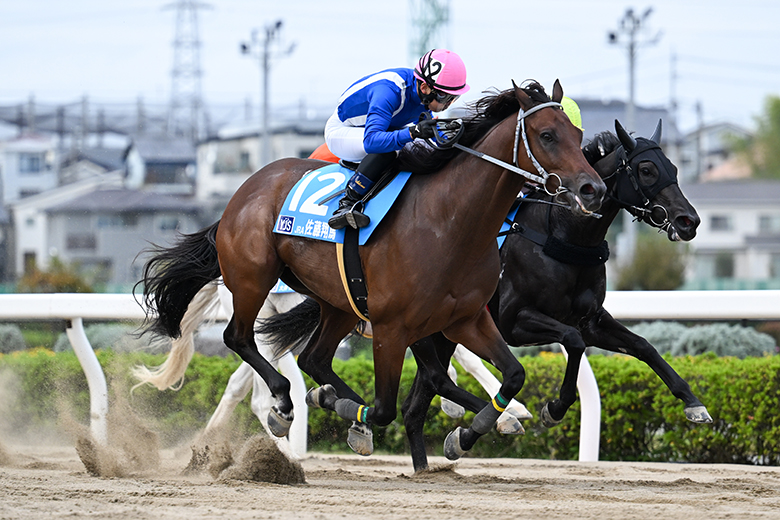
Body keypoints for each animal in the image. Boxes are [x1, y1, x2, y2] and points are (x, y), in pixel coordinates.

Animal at [137, 80, 606, 459]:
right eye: (547, 135)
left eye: (579, 134)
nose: (593, 189)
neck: (451, 221)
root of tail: (242, 193)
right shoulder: (393, 328)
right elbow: (387, 406)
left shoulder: (465, 318)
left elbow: (510, 375)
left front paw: (475, 431)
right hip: (253, 279)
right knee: (240, 339)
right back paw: (286, 407)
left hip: (337, 302)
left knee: (313, 358)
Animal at [400, 119, 711, 471]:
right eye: (646, 169)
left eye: (674, 167)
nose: (689, 221)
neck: (564, 238)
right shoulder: (515, 321)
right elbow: (573, 342)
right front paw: (555, 408)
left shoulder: (591, 321)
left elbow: (643, 346)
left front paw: (694, 403)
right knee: (432, 383)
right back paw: (493, 422)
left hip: (443, 335)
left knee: (414, 406)